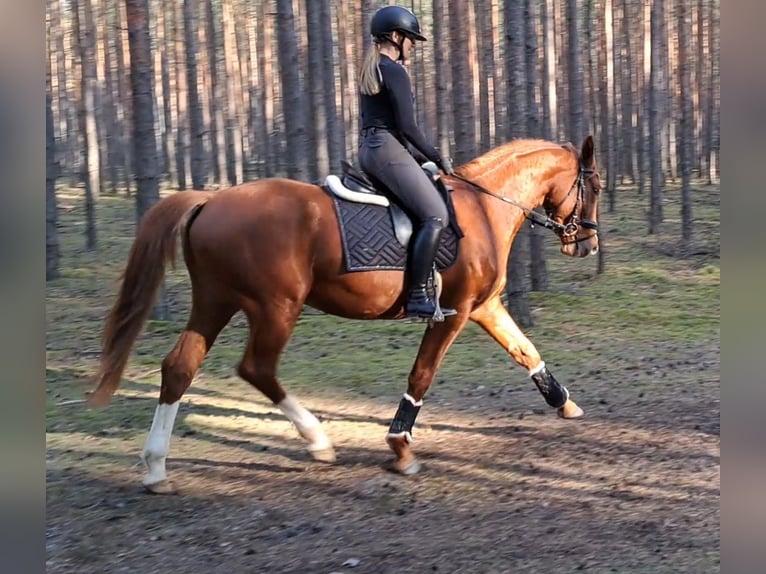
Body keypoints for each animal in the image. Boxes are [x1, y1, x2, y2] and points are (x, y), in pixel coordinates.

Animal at [90, 136, 604, 496]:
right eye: (595, 185)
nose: (587, 244)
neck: (483, 207)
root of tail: (211, 200)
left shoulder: (485, 306)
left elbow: (524, 350)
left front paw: (564, 402)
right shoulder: (452, 314)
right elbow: (422, 375)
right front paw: (400, 447)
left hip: (215, 301)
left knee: (180, 367)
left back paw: (156, 467)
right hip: (276, 306)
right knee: (257, 367)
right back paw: (318, 440)